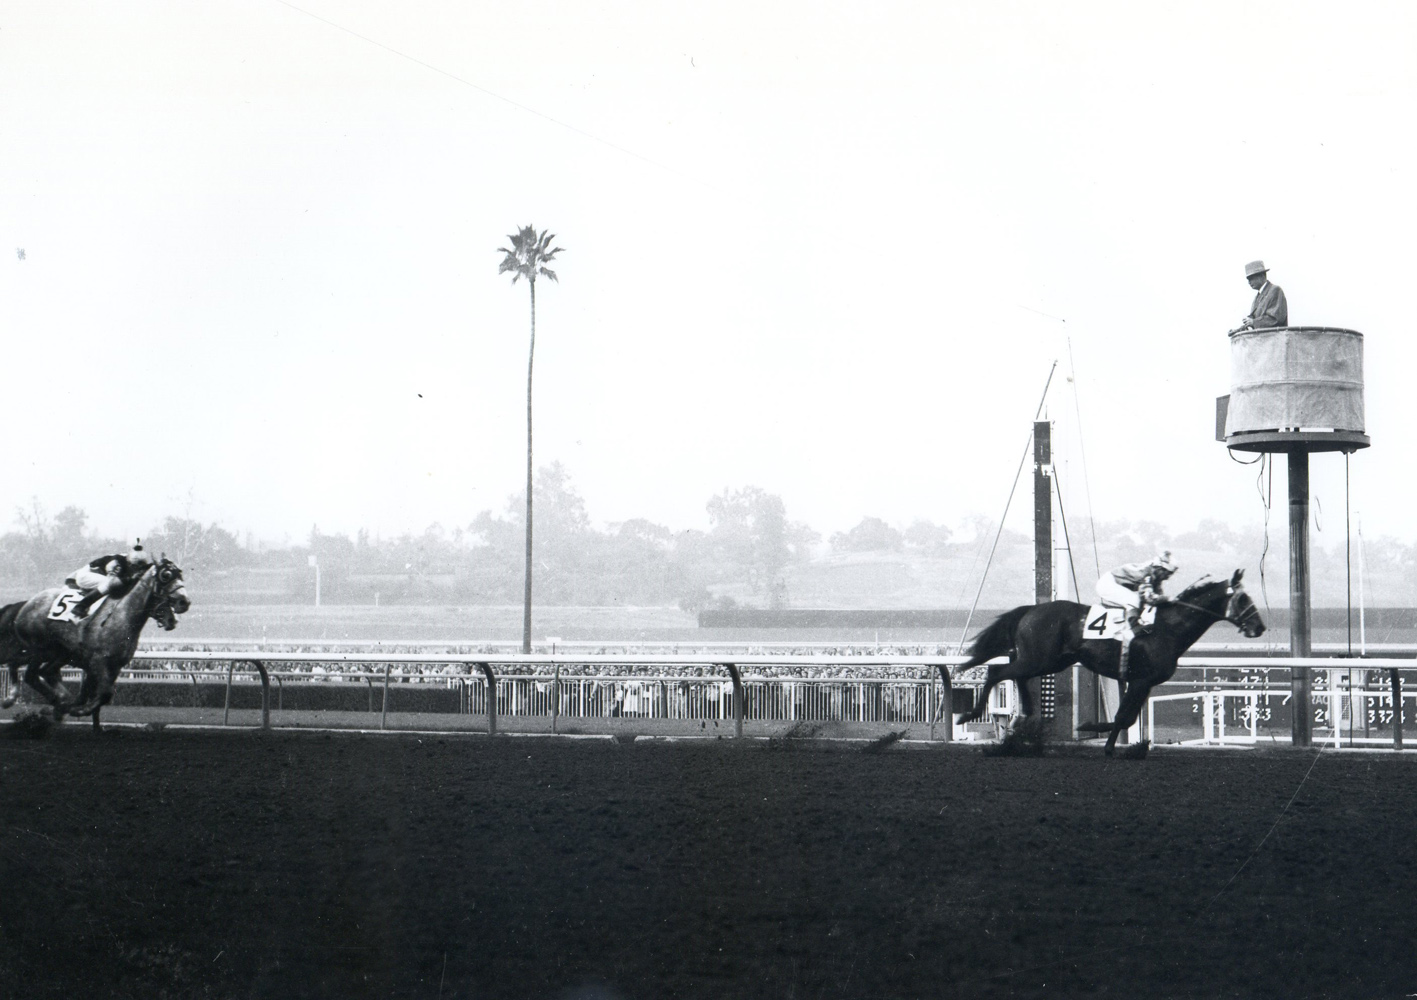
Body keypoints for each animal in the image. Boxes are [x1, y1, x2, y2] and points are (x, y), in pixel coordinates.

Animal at [6, 552, 191, 725]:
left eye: (180, 574)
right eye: (166, 575)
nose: (185, 602)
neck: (121, 615)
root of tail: (26, 604)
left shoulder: (113, 666)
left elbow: (99, 696)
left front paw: (86, 716)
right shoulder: (98, 662)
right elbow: (104, 694)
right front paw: (78, 710)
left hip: (58, 653)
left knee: (41, 670)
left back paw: (58, 703)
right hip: (40, 649)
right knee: (30, 674)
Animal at [952, 563, 1263, 753]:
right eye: (1244, 600)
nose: (1259, 627)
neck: (1168, 628)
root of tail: (1031, 609)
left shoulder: (1143, 682)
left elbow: (1126, 718)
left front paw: (1104, 739)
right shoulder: (1140, 680)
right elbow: (1123, 717)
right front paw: (1097, 735)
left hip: (1051, 661)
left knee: (1017, 677)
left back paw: (1024, 721)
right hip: (1039, 659)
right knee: (998, 674)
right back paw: (970, 714)